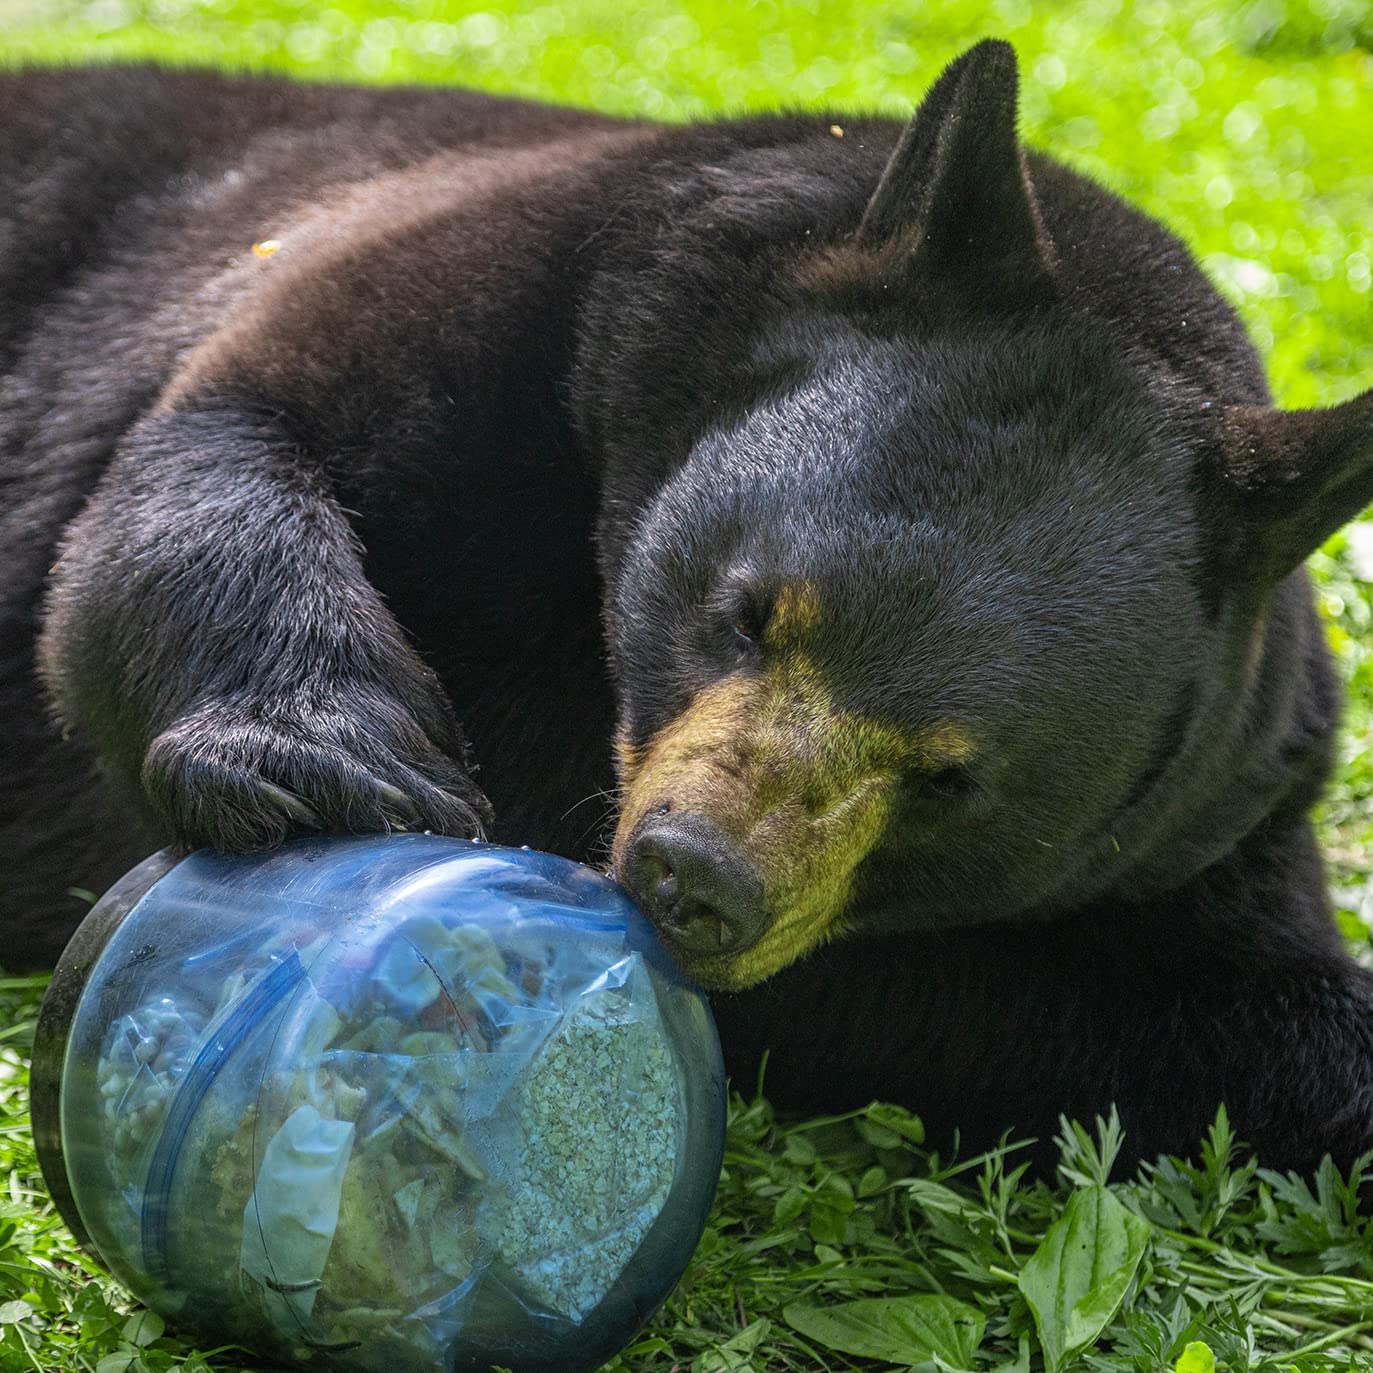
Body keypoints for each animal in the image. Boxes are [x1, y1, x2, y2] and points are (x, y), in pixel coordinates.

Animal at [4, 40, 1373, 1179]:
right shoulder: (495, 282)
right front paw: (334, 763)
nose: (691, 872)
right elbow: (219, 439)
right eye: (751, 611)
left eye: (949, 777)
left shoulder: (1218, 818)